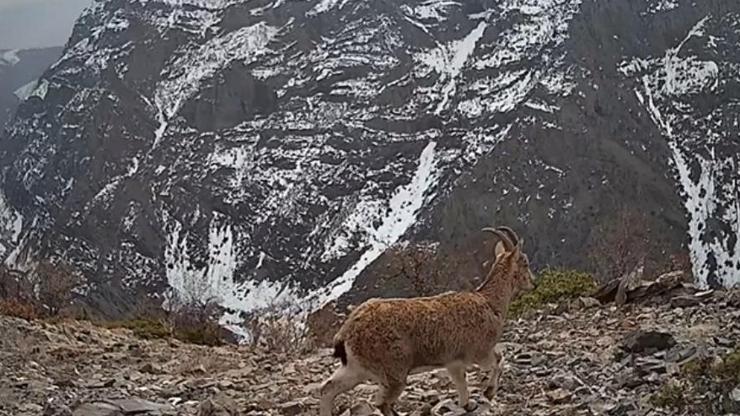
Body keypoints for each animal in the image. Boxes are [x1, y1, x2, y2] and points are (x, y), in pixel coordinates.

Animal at [320, 228, 536, 416]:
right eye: (524, 262)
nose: (533, 283)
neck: (490, 302)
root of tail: (347, 332)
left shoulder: (453, 362)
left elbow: (461, 383)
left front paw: (467, 404)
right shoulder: (479, 351)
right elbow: (499, 360)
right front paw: (488, 393)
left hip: (355, 369)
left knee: (327, 389)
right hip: (393, 372)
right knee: (382, 402)